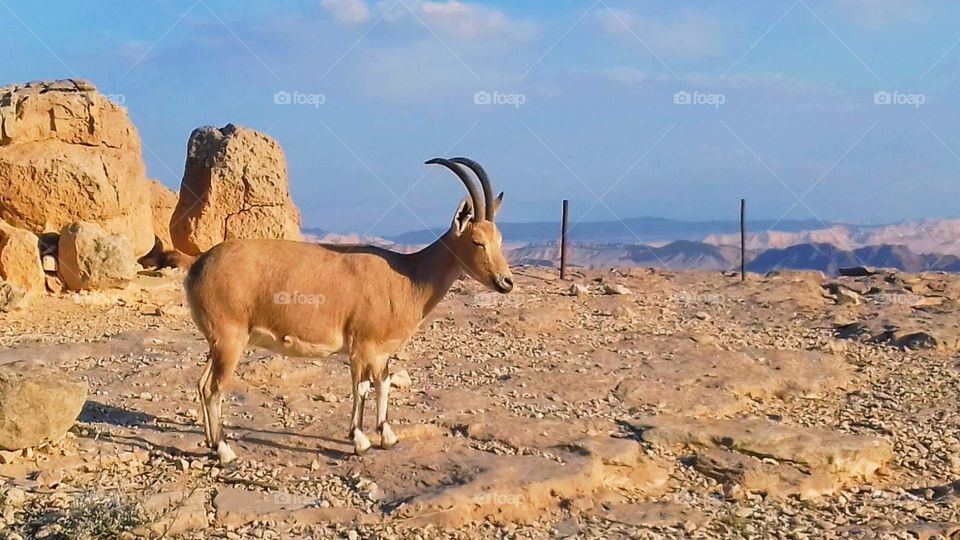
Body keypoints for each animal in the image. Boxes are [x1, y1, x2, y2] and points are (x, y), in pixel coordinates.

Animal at [185, 156, 512, 464]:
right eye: (477, 241)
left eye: (499, 239)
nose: (505, 282)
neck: (407, 276)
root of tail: (198, 267)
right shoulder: (361, 347)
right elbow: (361, 387)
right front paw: (361, 441)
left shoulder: (380, 352)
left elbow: (383, 383)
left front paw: (387, 437)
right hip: (230, 339)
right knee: (214, 388)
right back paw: (225, 452)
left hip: (217, 342)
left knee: (201, 384)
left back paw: (212, 443)